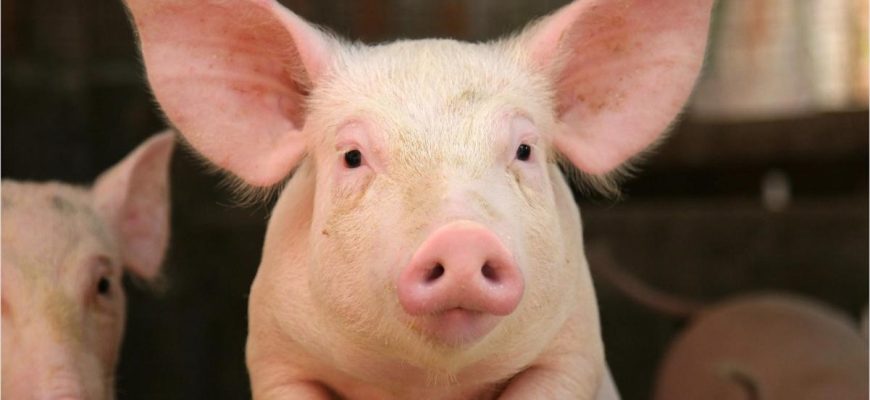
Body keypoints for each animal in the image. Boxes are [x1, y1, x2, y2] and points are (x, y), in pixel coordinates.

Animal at [123, 0, 713, 398]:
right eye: (352, 156)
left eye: (523, 149)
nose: (461, 237)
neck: (428, 384)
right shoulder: (275, 353)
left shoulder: (573, 348)